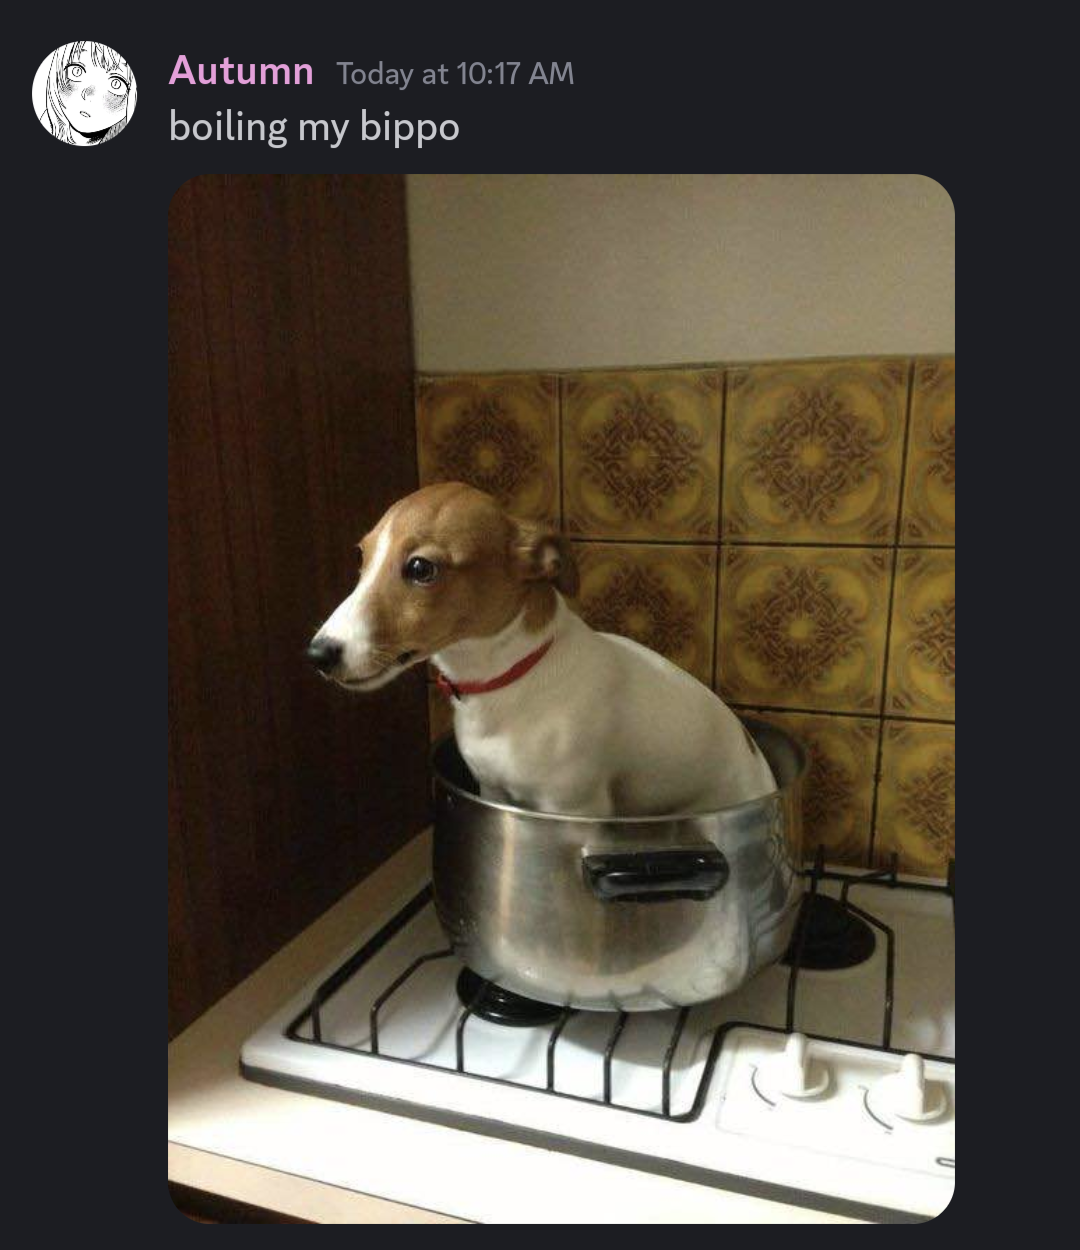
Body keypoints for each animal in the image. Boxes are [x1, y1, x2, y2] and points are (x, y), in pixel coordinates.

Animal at [307, 482, 775, 816]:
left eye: (421, 568)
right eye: (362, 558)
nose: (318, 654)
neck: (508, 684)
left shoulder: (574, 808)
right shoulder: (493, 790)